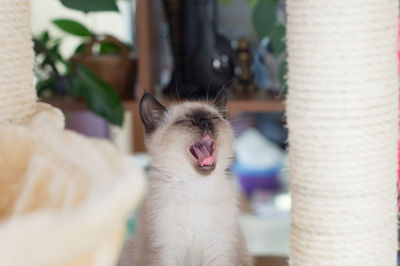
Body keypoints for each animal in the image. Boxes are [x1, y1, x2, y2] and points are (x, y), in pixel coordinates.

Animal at [119, 91, 253, 266]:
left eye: (213, 118)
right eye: (184, 121)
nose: (205, 122)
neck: (196, 188)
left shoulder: (218, 251)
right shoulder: (166, 251)